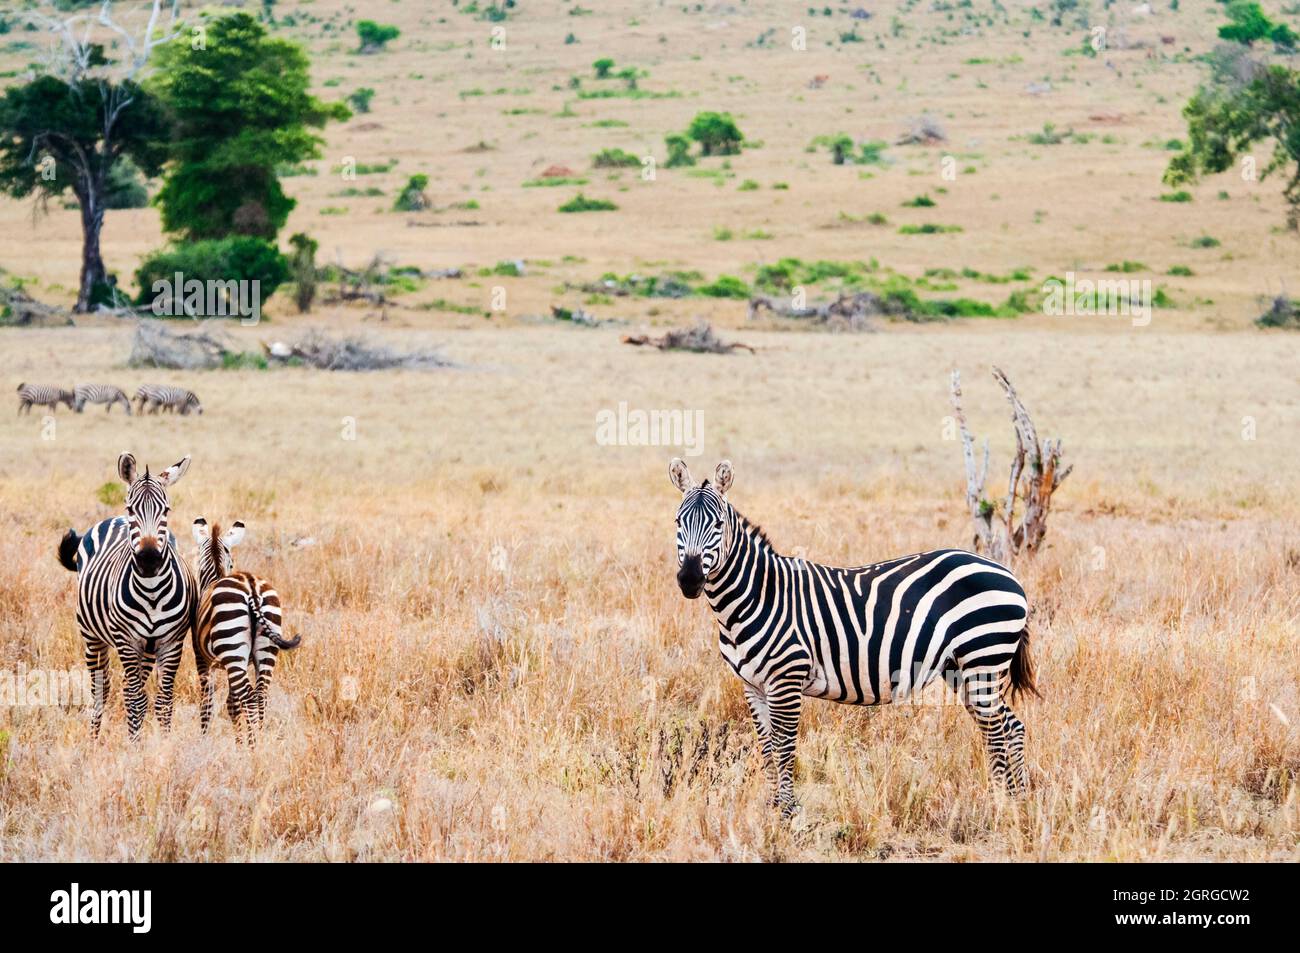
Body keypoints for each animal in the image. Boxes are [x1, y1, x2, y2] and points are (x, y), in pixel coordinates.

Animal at [57, 453, 197, 739]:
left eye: (166, 511)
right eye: (131, 509)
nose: (149, 560)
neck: (152, 590)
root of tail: (112, 519)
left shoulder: (172, 642)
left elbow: (164, 701)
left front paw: (164, 744)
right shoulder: (127, 640)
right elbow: (136, 700)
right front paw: (135, 745)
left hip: (147, 650)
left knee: (124, 687)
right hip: (92, 637)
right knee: (101, 690)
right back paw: (93, 740)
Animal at [191, 518, 300, 743]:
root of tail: (251, 589)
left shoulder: (202, 659)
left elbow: (207, 704)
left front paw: (204, 741)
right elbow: (232, 704)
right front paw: (238, 743)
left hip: (232, 650)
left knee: (249, 698)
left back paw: (253, 746)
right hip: (264, 649)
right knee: (260, 696)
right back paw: (259, 741)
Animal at [668, 458, 1038, 815]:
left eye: (718, 525)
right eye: (677, 522)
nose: (689, 580)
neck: (757, 597)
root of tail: (1009, 573)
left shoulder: (786, 679)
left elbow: (784, 746)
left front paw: (787, 812)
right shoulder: (752, 685)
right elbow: (767, 746)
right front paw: (771, 808)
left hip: (982, 658)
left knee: (1001, 731)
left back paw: (1003, 805)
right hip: (960, 668)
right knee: (1006, 728)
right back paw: (1013, 802)